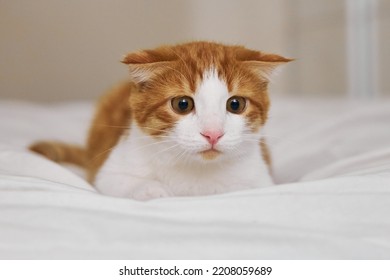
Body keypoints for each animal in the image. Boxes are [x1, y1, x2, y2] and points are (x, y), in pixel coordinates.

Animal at [29, 41, 290, 199]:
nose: (213, 134)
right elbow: (121, 183)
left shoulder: (261, 179)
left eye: (235, 104)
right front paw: (155, 191)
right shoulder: (110, 172)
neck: (197, 172)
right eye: (182, 104)